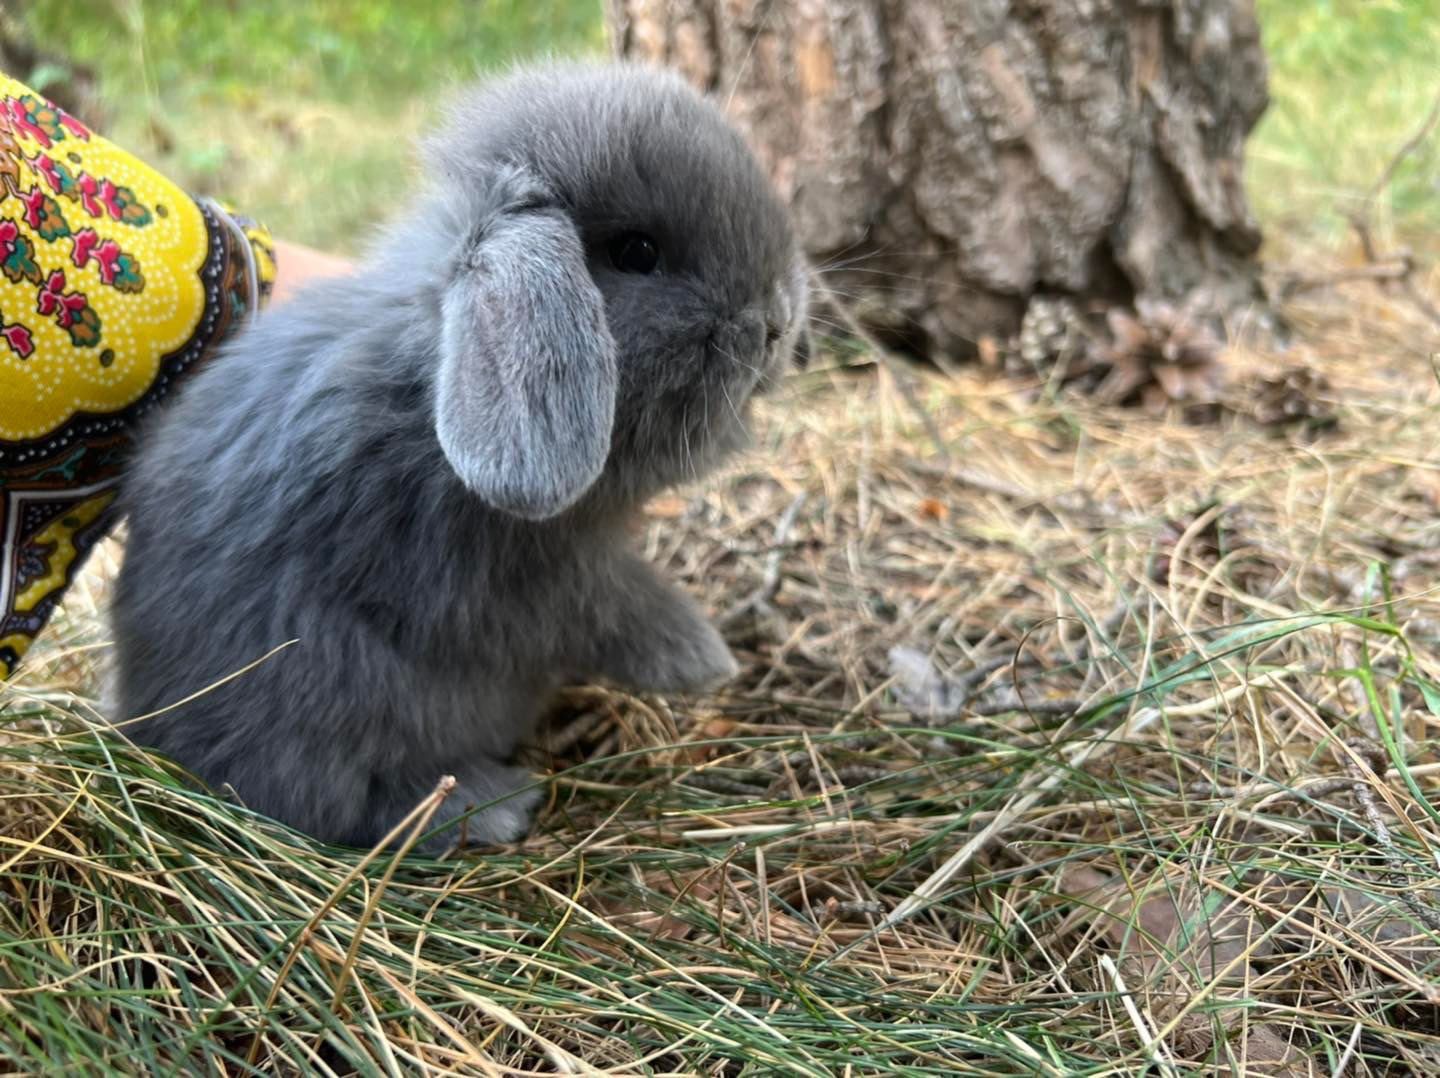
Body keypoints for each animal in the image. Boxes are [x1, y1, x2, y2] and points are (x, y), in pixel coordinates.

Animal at [109, 62, 812, 852]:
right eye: (637, 253)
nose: (780, 323)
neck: (426, 381)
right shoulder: (540, 577)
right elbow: (620, 608)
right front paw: (705, 659)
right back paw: (494, 802)